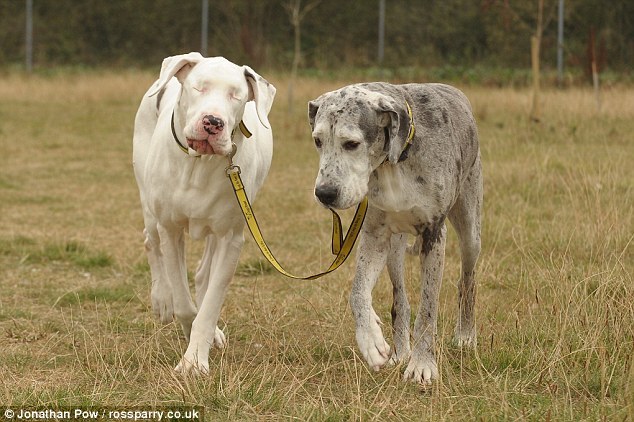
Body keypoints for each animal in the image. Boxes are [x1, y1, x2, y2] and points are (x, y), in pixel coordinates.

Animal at [132, 52, 272, 372]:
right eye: (199, 87)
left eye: (236, 95)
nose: (213, 122)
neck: (199, 163)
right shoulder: (170, 229)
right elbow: (184, 303)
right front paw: (184, 323)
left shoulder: (231, 238)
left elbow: (210, 303)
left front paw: (195, 358)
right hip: (149, 204)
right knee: (150, 241)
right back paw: (161, 300)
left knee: (202, 274)